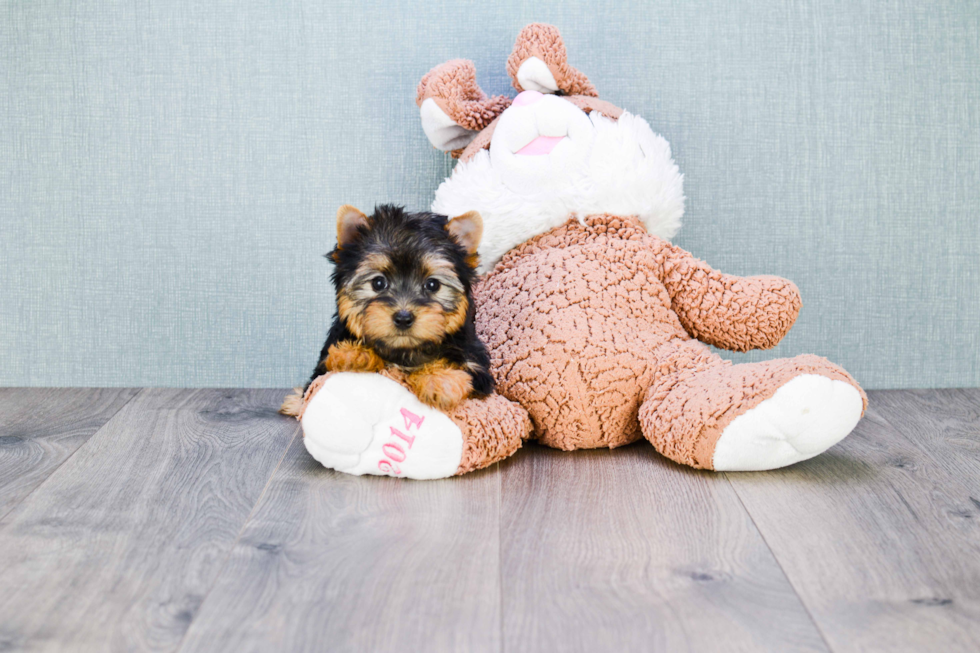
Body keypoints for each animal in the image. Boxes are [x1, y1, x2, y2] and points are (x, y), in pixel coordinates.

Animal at [280, 204, 494, 416]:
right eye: (378, 282)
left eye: (432, 285)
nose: (403, 318)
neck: (402, 351)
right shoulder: (324, 363)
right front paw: (354, 354)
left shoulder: (476, 365)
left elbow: (462, 367)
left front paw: (439, 379)